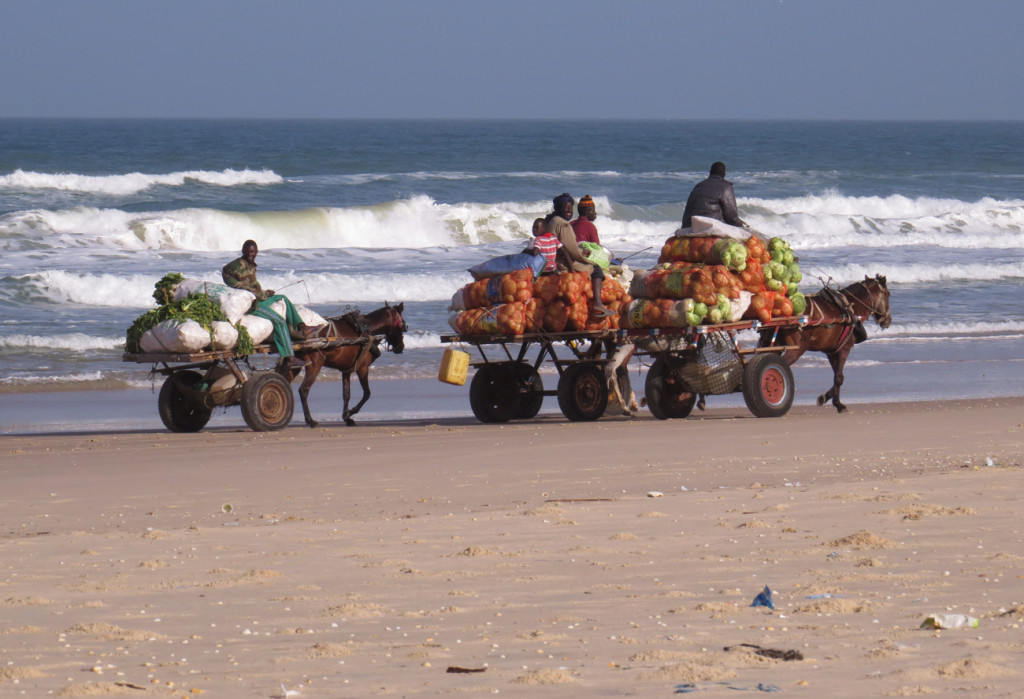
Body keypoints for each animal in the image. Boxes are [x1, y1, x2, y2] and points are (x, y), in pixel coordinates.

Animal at [757, 274, 892, 415]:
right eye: (887, 294)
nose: (888, 320)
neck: (850, 308)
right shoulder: (844, 349)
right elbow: (839, 377)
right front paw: (837, 403)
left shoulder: (831, 351)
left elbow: (837, 376)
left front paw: (826, 398)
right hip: (795, 351)